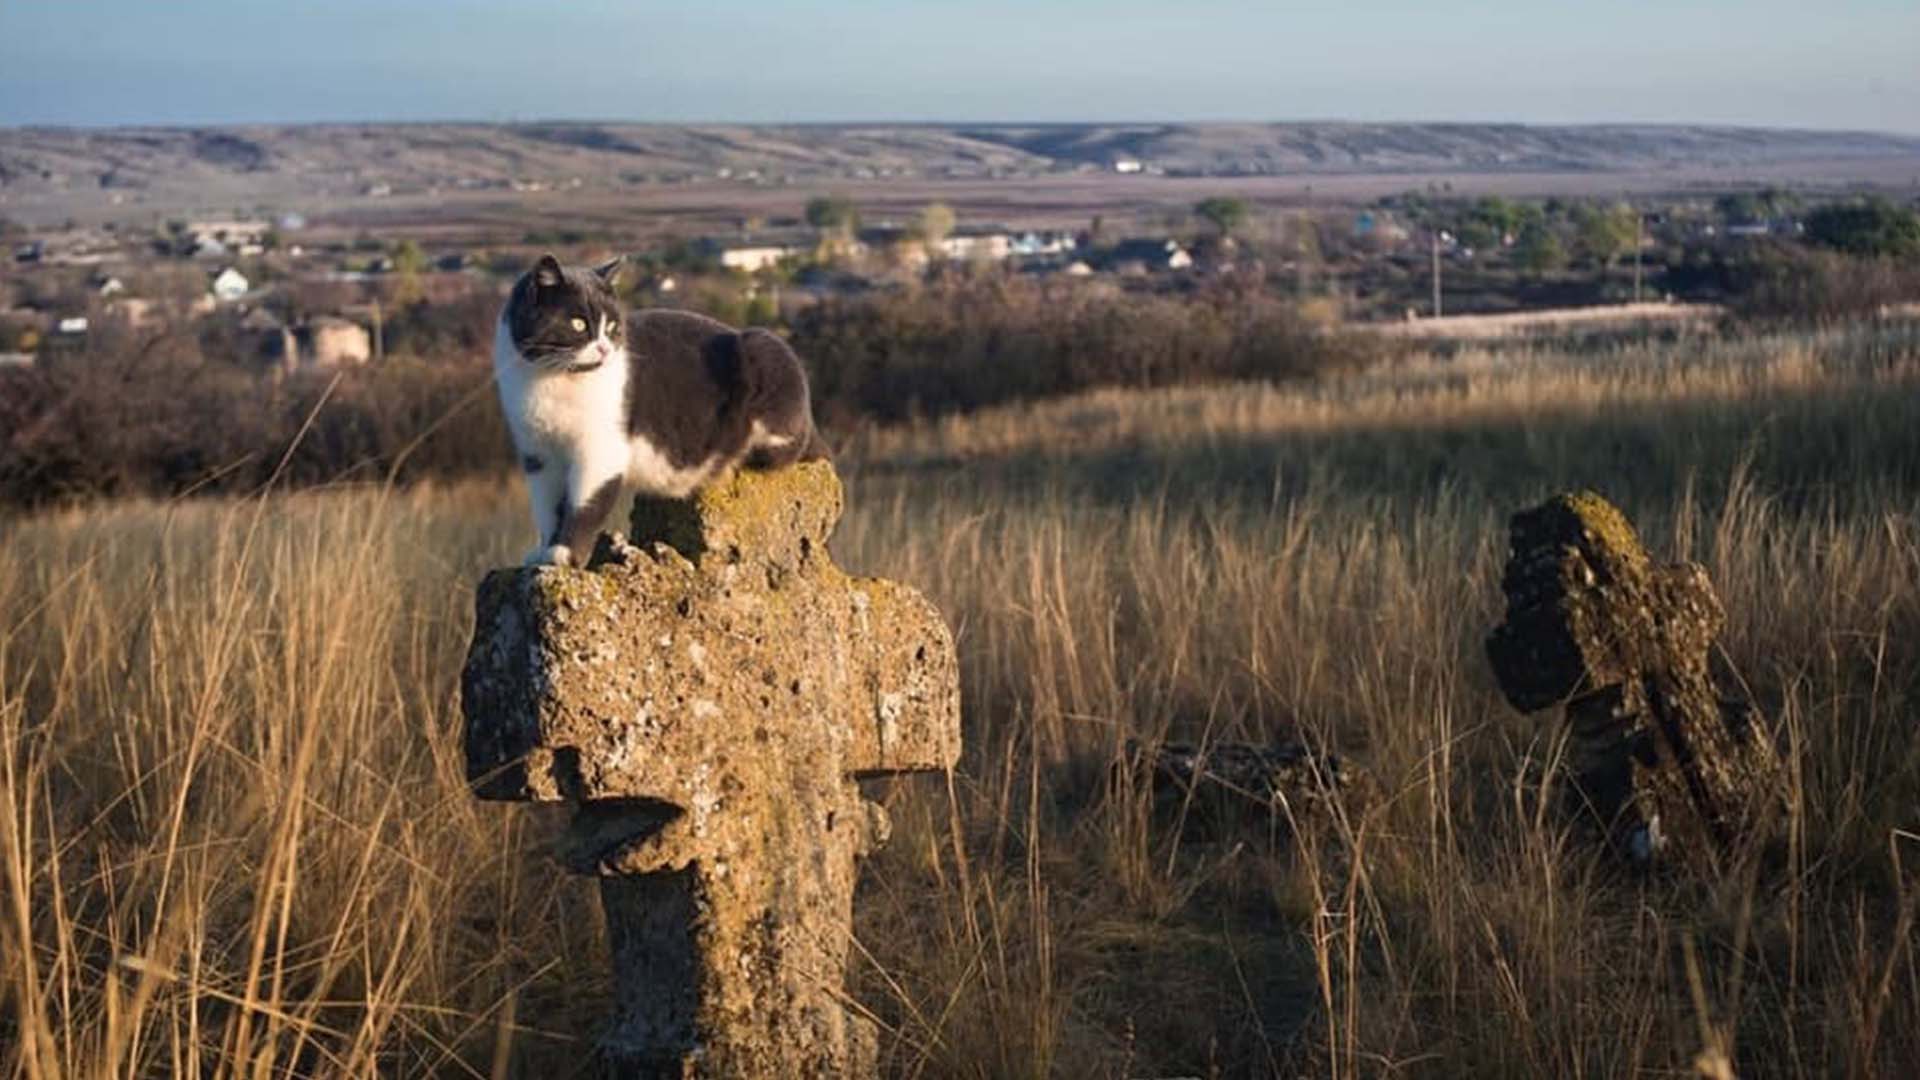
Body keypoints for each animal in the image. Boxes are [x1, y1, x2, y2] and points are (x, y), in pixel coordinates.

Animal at [495, 253, 825, 568]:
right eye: (577, 324)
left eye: (612, 327)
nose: (604, 348)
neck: (554, 381)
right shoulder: (538, 454)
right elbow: (547, 508)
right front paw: (543, 549)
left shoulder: (601, 449)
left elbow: (584, 505)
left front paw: (564, 553)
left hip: (768, 353)